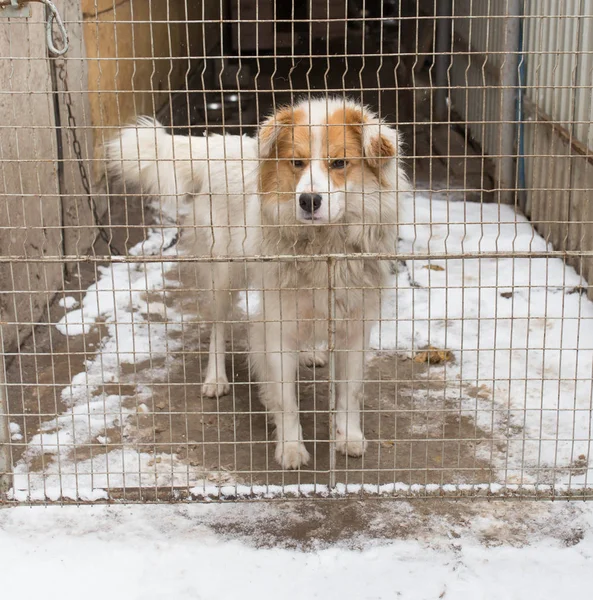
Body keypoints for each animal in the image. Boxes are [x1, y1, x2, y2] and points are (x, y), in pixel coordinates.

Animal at [106, 96, 410, 468]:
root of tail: (219, 145)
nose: (308, 200)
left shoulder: (356, 325)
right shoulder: (276, 326)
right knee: (218, 327)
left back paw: (311, 352)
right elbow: (287, 399)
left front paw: (348, 437)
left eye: (339, 163)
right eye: (297, 162)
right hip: (222, 275)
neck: (323, 246)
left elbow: (349, 392)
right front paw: (291, 447)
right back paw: (216, 378)